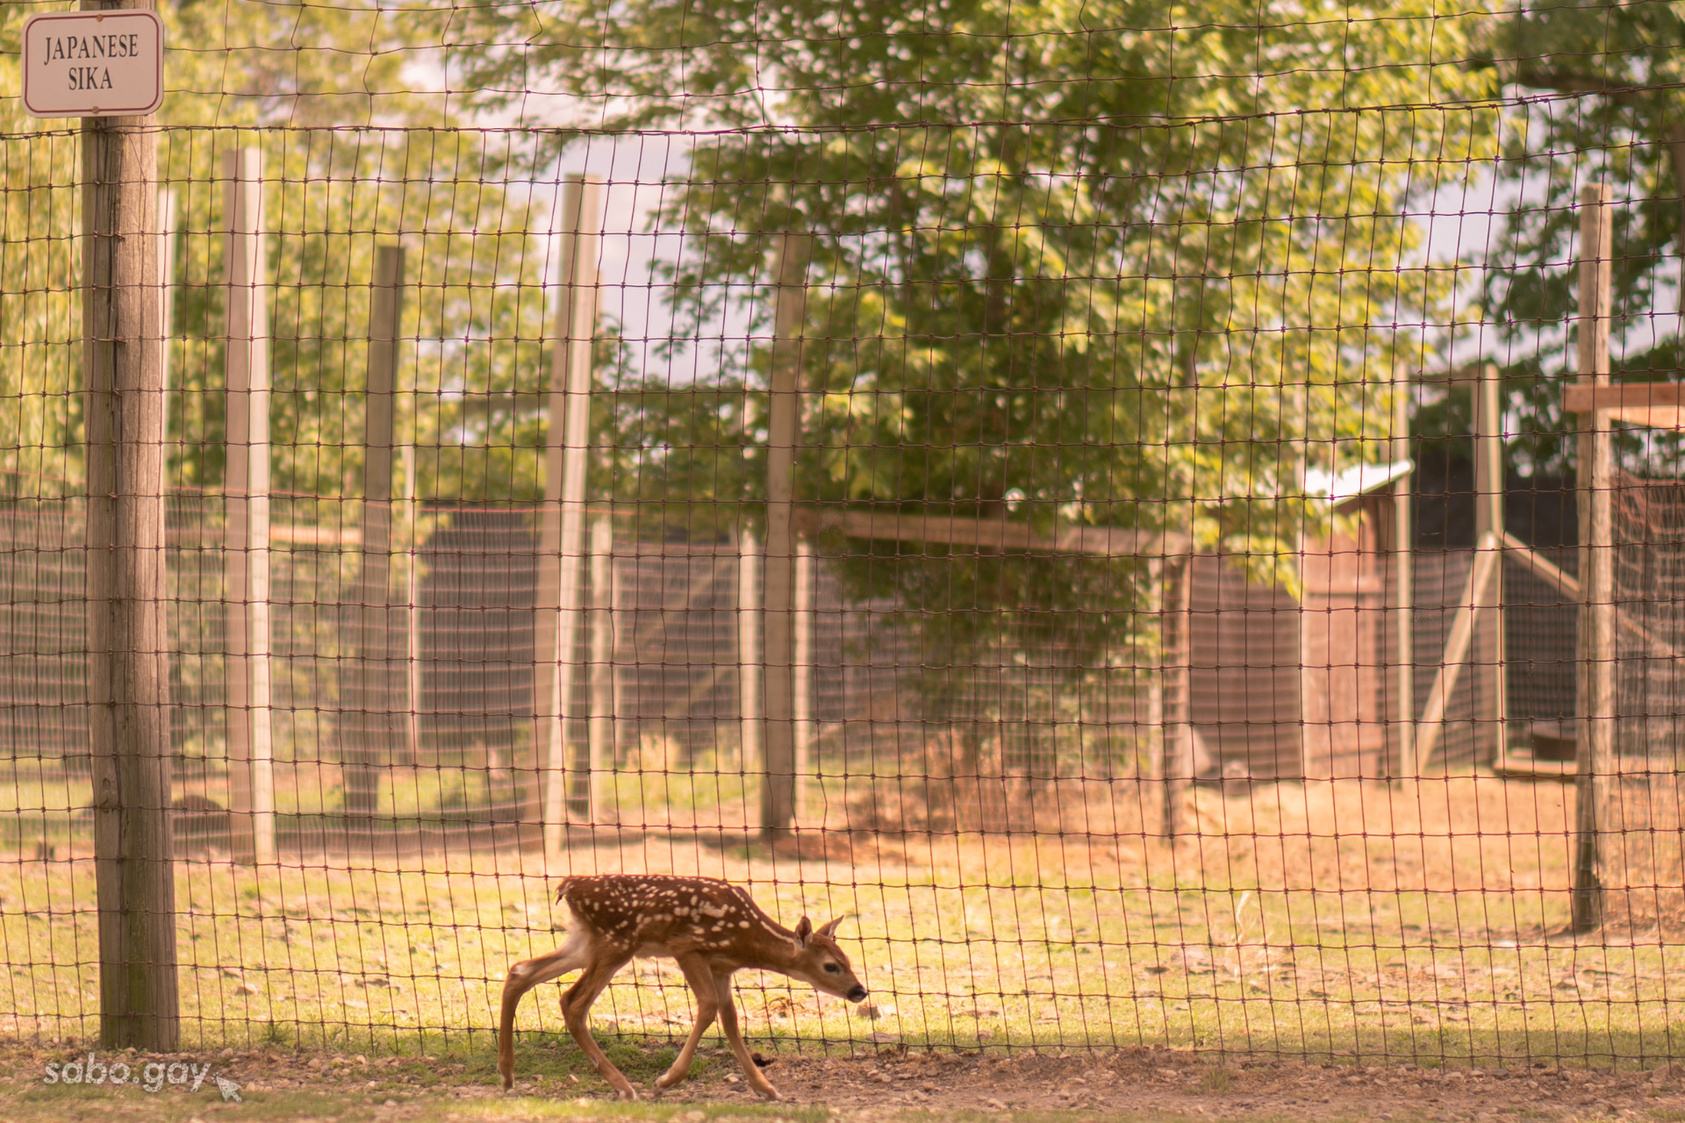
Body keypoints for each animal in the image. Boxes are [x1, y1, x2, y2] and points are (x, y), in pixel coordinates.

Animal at [498, 873, 868, 1101]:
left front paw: (767, 1089)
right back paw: (624, 1087)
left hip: (585, 942)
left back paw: (507, 1075)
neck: (744, 940)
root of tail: (567, 887)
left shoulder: (722, 968)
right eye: (831, 965)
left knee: (520, 971)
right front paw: (666, 1081)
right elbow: (707, 1007)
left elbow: (730, 1020)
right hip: (616, 943)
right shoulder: (688, 948)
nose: (859, 991)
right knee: (572, 1002)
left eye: (848, 958)